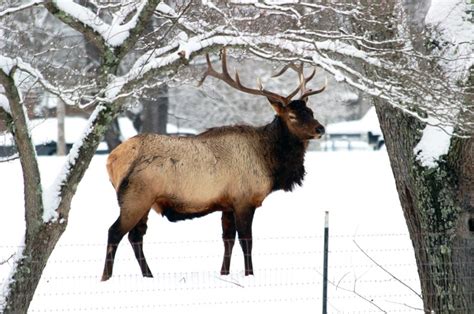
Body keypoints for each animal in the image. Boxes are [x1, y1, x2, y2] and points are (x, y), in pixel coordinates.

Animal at [101, 49, 326, 282]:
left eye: (310, 111)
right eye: (292, 115)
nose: (320, 128)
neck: (270, 165)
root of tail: (111, 159)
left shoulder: (227, 204)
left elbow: (228, 241)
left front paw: (224, 273)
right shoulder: (244, 199)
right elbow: (247, 242)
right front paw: (249, 275)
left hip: (144, 200)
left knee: (135, 237)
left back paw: (148, 276)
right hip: (135, 197)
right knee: (114, 232)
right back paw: (106, 278)